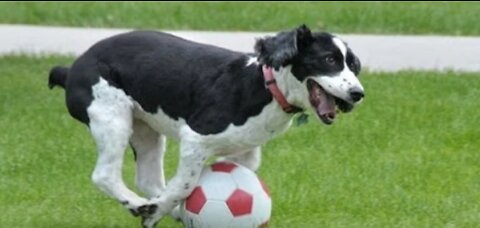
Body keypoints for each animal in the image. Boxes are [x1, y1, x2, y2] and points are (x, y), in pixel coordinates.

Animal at [47, 24, 364, 227]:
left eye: (353, 66)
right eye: (329, 60)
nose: (358, 94)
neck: (264, 85)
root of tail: (71, 69)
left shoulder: (245, 151)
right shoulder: (196, 138)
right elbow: (186, 185)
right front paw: (154, 213)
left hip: (145, 129)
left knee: (148, 178)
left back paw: (167, 211)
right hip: (112, 116)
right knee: (104, 175)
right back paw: (140, 205)